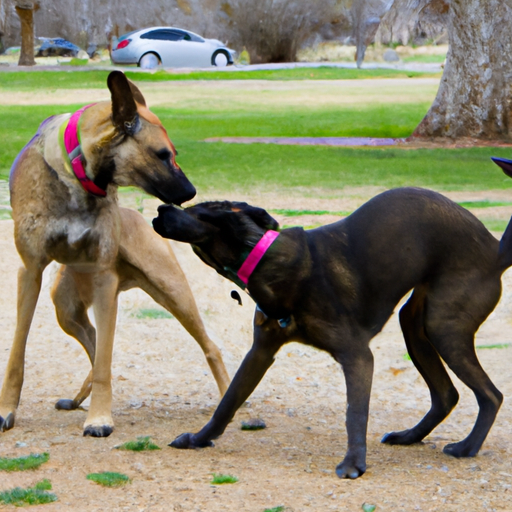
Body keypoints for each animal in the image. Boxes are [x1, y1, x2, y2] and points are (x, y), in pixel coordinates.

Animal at [0, 70, 229, 438]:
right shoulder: (29, 271)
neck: (77, 176)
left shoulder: (105, 279)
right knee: (93, 344)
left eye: (174, 153)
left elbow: (105, 363)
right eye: (162, 154)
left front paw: (99, 419)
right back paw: (76, 399)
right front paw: (6, 410)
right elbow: (17, 354)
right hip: (66, 308)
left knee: (210, 348)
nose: (191, 193)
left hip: (174, 292)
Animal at [154, 185, 512, 480]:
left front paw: (354, 463)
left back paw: (467, 448)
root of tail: (496, 251)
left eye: (200, 209)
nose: (160, 208)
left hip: (442, 326)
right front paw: (198, 439)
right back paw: (409, 437)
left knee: (491, 395)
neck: (264, 258)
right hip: (414, 325)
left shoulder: (357, 355)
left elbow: (355, 412)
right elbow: (227, 403)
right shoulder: (261, 352)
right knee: (446, 395)